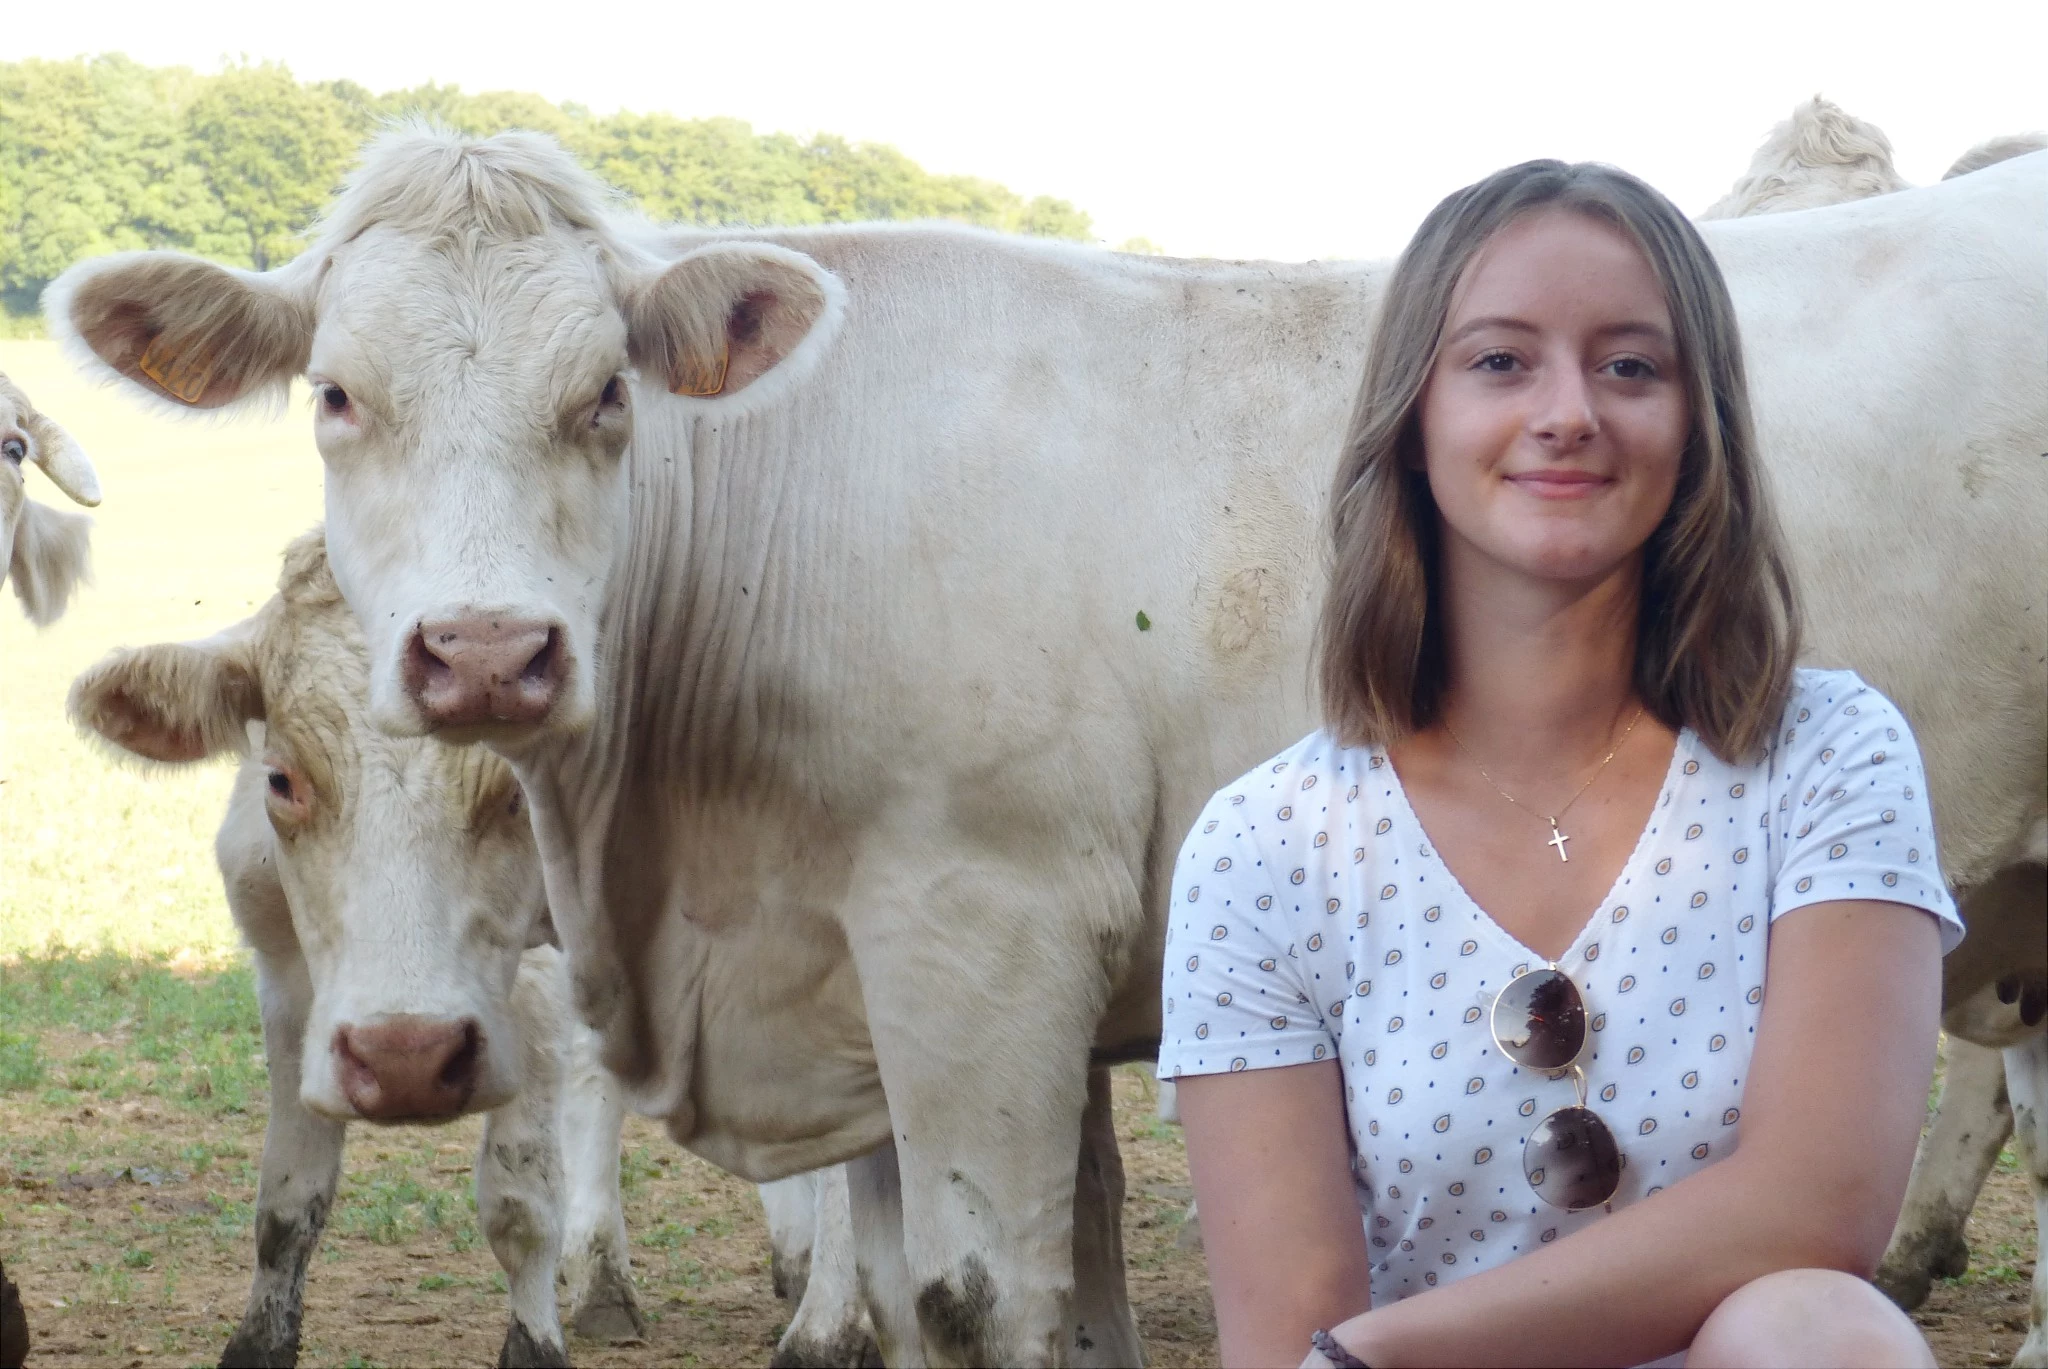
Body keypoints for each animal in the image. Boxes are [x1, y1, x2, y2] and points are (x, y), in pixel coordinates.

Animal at [48, 139, 2048, 1369]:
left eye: (604, 394)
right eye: (336, 396)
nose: (482, 650)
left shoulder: (975, 946)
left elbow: (961, 1296)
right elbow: (1074, 1296)